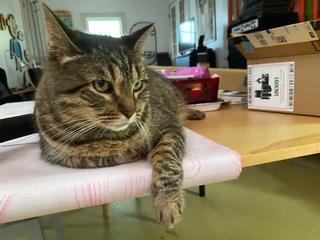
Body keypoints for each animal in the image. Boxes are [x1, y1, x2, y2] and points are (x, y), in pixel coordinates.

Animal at [35, 4, 205, 228]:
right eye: (101, 85)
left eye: (137, 85)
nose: (131, 112)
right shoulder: (60, 155)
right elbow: (98, 156)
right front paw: (131, 152)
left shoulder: (171, 126)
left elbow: (167, 157)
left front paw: (168, 202)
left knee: (183, 109)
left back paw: (197, 112)